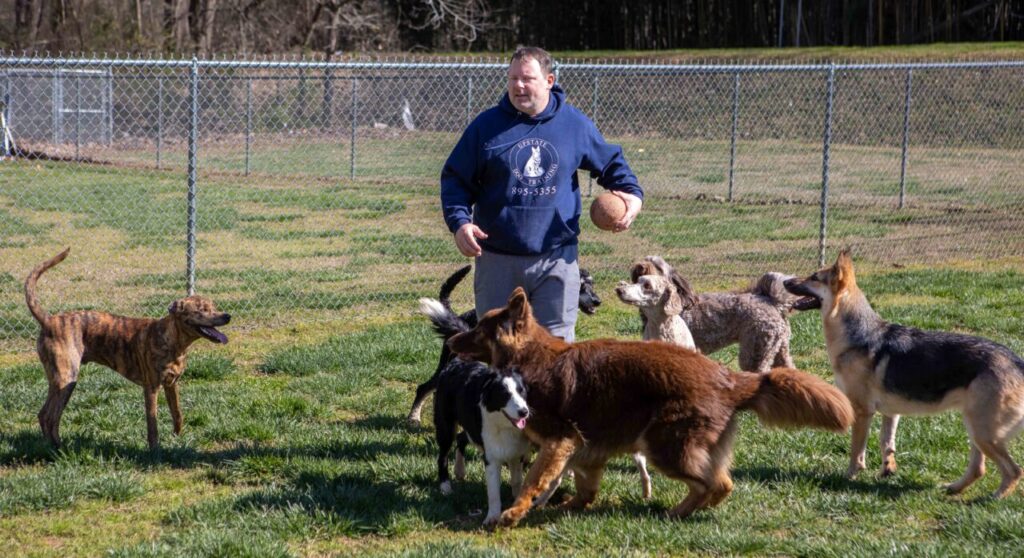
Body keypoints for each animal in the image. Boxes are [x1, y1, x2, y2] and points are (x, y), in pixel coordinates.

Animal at [24, 247, 232, 448]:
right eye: (202, 310)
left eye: (214, 306)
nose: (227, 316)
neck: (173, 341)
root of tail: (48, 320)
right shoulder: (151, 388)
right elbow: (152, 423)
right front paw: (155, 450)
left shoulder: (172, 384)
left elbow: (177, 413)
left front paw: (177, 439)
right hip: (66, 378)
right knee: (50, 416)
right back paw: (58, 449)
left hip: (58, 381)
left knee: (44, 415)